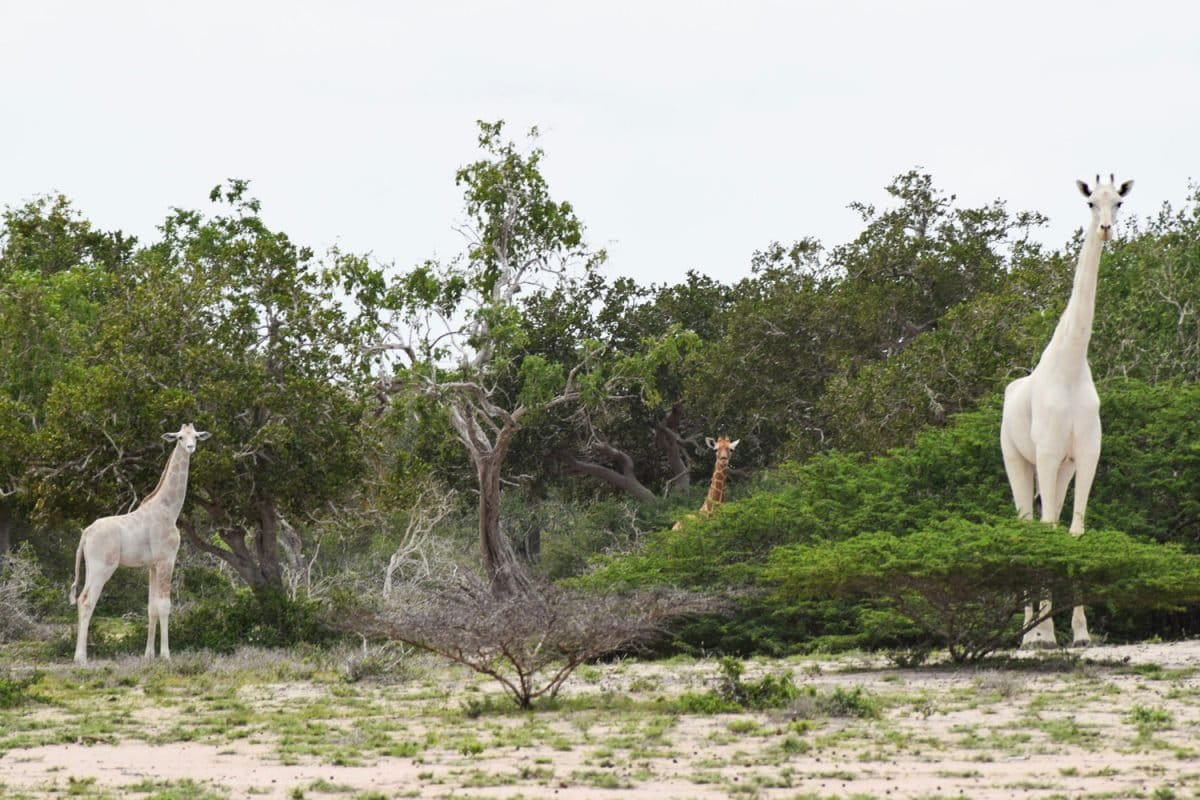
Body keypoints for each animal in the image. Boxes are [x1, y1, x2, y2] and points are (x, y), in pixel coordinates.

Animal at [69, 423, 210, 663]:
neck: (169, 509)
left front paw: (148, 655)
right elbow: (164, 605)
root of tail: (85, 534)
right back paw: (81, 658)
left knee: (80, 599)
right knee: (87, 601)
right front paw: (166, 655)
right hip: (102, 567)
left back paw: (80, 656)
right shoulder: (166, 559)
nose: (191, 447)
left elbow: (151, 607)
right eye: (180, 438)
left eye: (196, 436)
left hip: (90, 566)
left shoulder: (152, 565)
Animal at [1000, 175, 1133, 648]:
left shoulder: (1086, 454)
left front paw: (1080, 631)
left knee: (1049, 521)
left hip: (1061, 468)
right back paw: (1029, 633)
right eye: (1091, 203)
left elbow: (1074, 531)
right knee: (1028, 523)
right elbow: (1046, 530)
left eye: (1119, 202)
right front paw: (1042, 633)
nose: (1106, 229)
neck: (1072, 365)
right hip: (1019, 459)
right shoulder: (1047, 452)